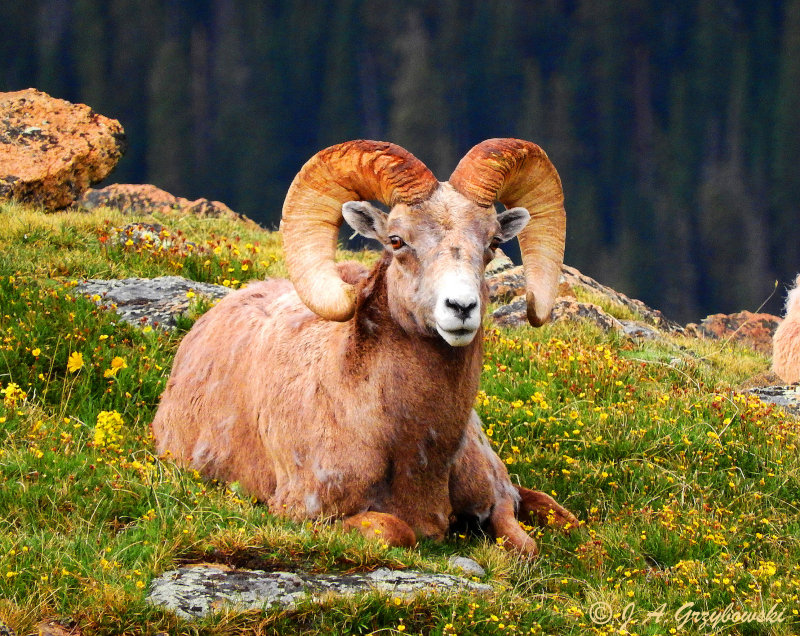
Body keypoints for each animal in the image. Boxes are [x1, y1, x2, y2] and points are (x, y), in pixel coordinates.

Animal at [152, 138, 576, 552]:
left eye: (492, 242)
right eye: (396, 240)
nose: (461, 307)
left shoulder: (498, 500)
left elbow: (527, 547)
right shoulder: (303, 515)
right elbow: (397, 530)